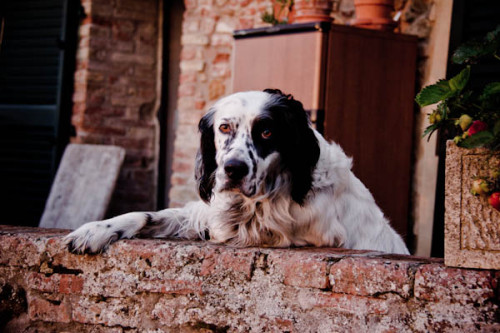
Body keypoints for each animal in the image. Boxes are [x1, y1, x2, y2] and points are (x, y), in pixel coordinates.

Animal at [64, 89, 410, 254]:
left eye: (267, 132)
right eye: (224, 127)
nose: (233, 169)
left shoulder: (311, 233)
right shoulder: (208, 214)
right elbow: (150, 215)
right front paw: (95, 230)